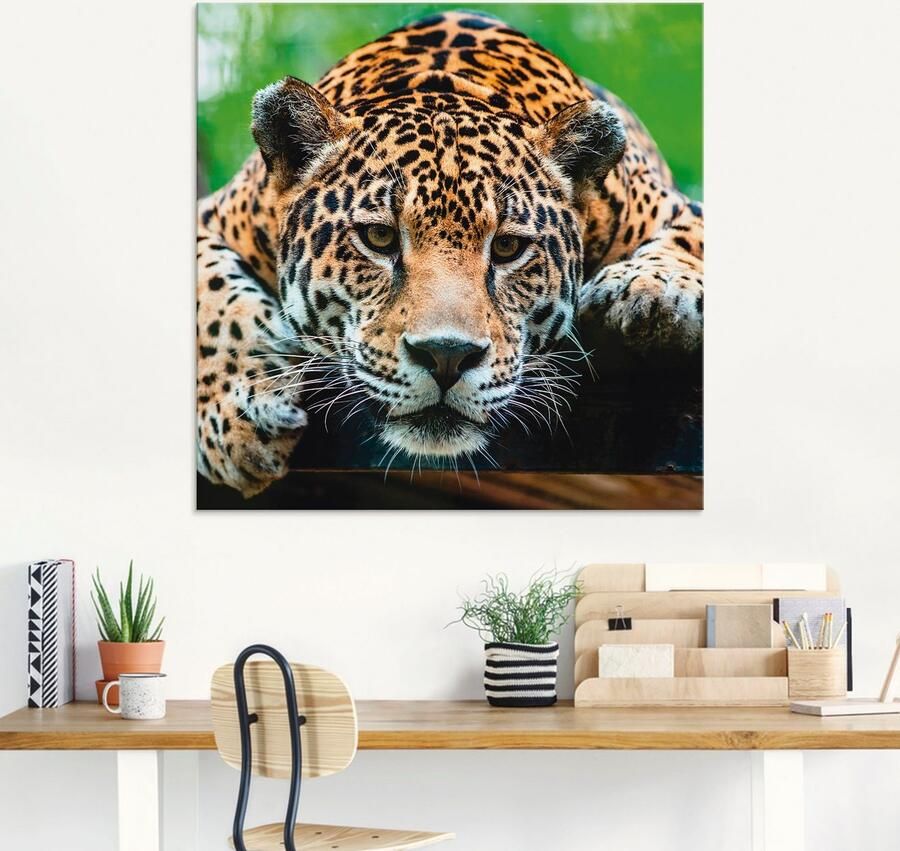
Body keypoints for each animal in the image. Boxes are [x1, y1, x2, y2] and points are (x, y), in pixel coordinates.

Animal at [196, 11, 703, 497]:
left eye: (507, 247)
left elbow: (687, 241)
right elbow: (214, 296)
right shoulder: (211, 217)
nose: (446, 357)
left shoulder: (677, 208)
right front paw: (241, 413)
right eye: (379, 237)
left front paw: (650, 290)